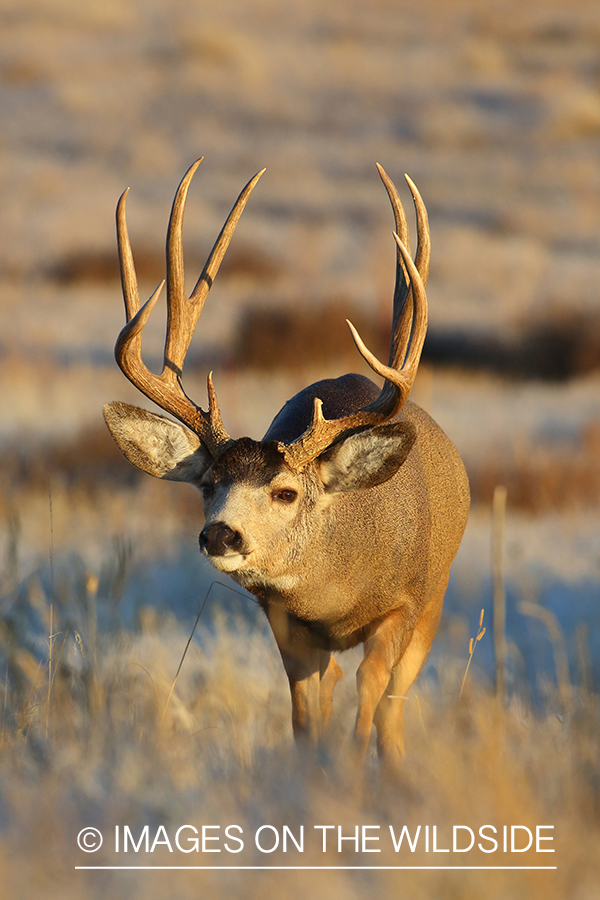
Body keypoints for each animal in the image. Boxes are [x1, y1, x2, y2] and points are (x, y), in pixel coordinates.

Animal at [102, 158, 468, 776]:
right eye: (208, 484)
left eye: (285, 492)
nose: (220, 534)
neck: (334, 595)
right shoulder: (282, 619)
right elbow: (303, 713)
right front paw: (312, 772)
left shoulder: (405, 603)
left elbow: (374, 691)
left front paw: (353, 772)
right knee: (337, 681)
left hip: (436, 599)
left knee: (392, 703)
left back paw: (396, 771)